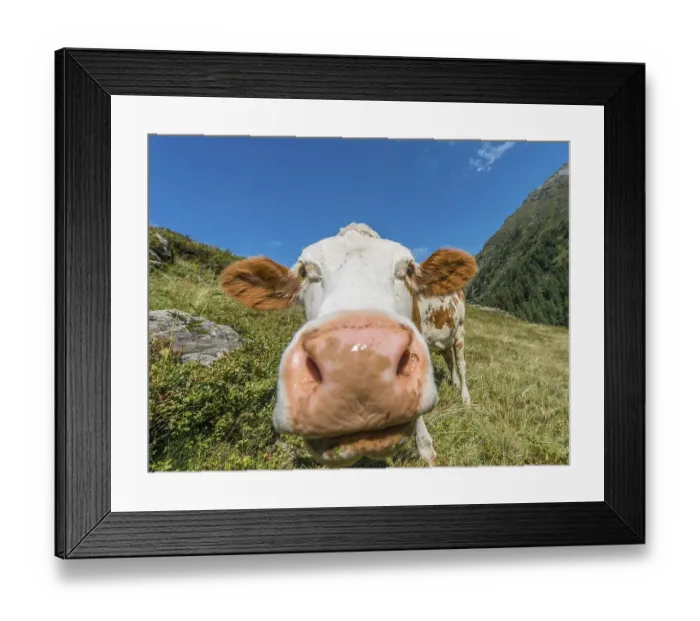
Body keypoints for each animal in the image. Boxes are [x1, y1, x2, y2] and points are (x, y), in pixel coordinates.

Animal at [219, 223, 477, 468]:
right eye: (304, 271)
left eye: (409, 269)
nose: (357, 366)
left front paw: (426, 448)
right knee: (449, 360)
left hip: (460, 330)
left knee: (461, 363)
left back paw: (465, 398)